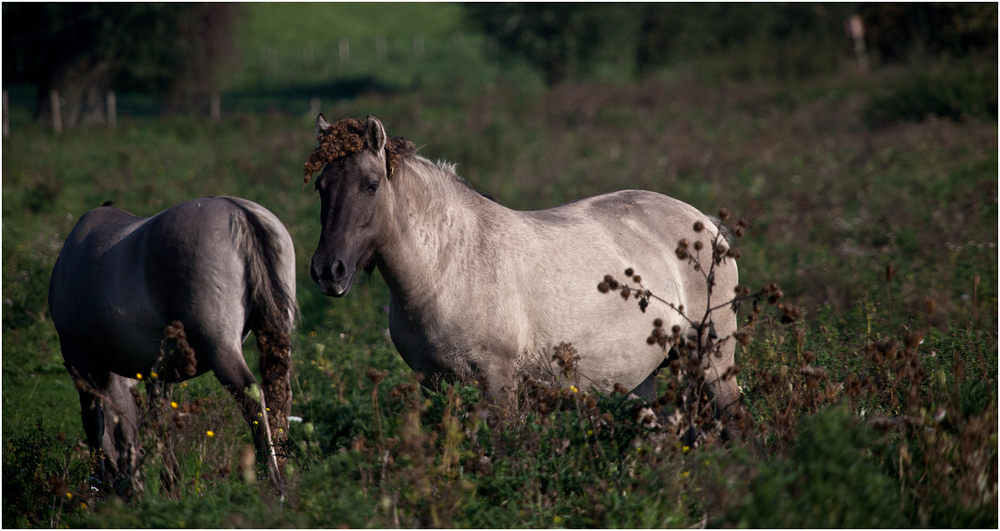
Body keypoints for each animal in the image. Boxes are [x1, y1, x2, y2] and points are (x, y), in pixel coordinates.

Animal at [48, 196, 294, 494]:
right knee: (277, 396)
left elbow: (96, 423)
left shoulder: (79, 359)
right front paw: (170, 482)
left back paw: (272, 479)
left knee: (252, 396)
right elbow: (157, 420)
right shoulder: (160, 374)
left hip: (221, 348)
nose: (121, 481)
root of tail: (238, 210)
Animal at [304, 116, 744, 424]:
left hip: (713, 361)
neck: (447, 266)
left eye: (371, 185)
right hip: (641, 379)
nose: (328, 270)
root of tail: (706, 224)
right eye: (321, 187)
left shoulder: (497, 383)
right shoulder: (435, 385)